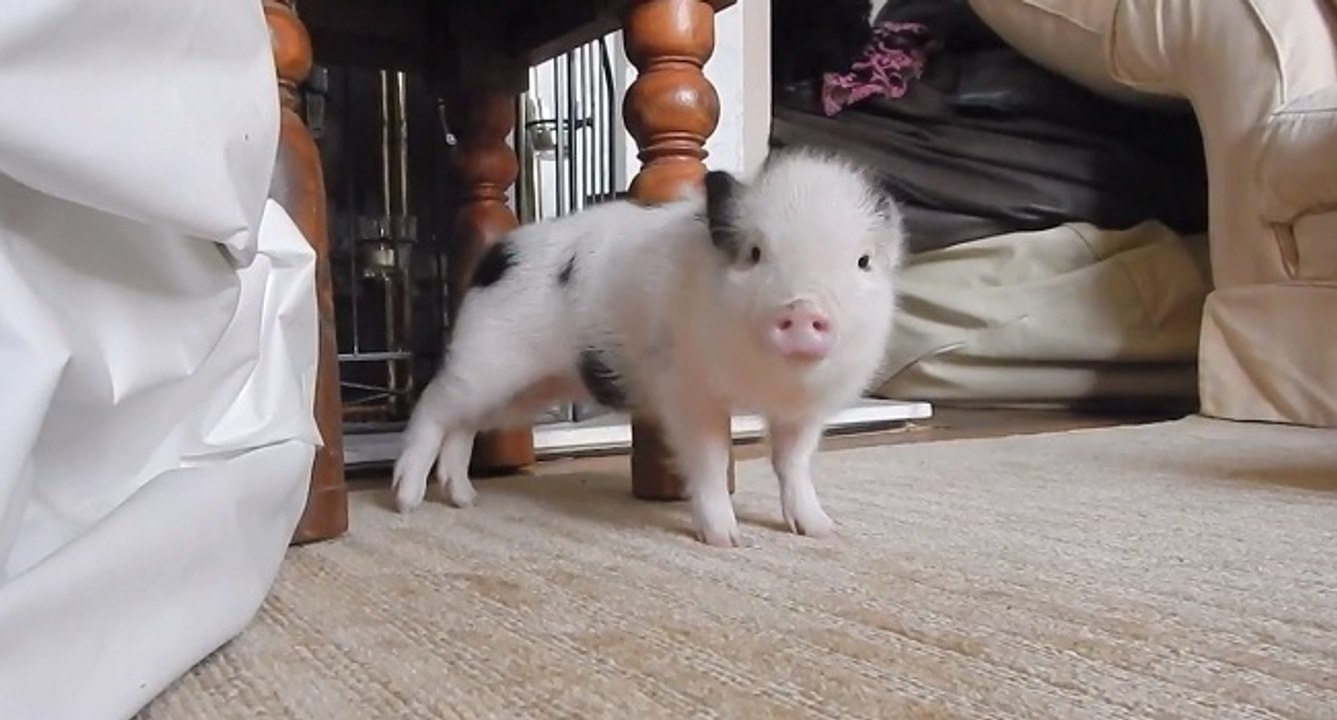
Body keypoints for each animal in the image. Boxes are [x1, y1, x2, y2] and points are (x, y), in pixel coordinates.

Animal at [392, 146, 906, 547]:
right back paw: (406, 503)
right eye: (755, 254)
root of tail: (495, 257)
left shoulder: (805, 410)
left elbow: (793, 464)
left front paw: (822, 530)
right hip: (484, 359)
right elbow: (709, 460)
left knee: (464, 426)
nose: (802, 309)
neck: (763, 385)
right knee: (432, 406)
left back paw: (465, 499)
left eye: (862, 261)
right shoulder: (688, 389)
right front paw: (728, 541)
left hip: (522, 391)